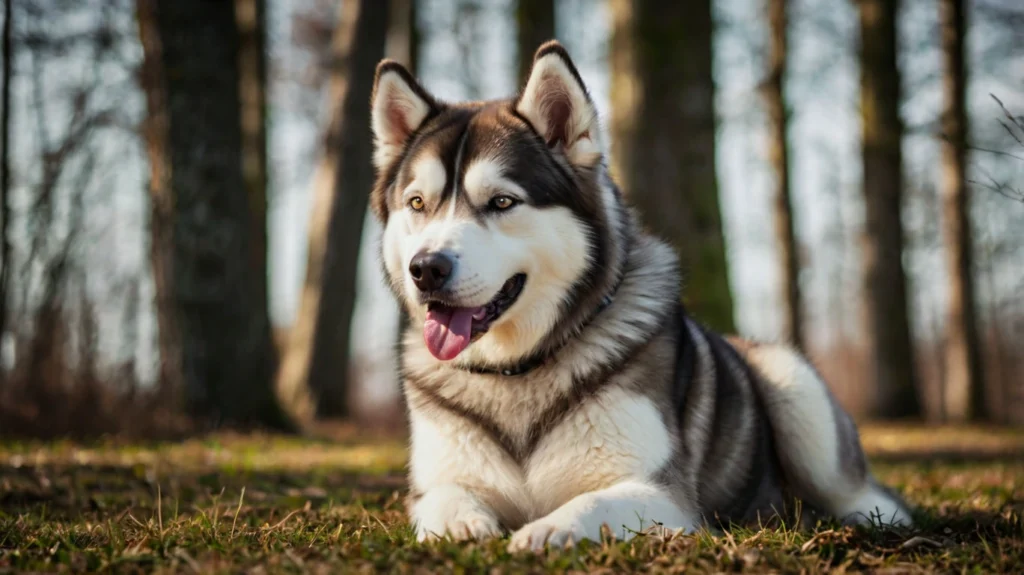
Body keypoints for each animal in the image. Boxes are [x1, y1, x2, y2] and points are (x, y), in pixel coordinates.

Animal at [368, 41, 913, 552]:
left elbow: (592, 502)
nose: (426, 269)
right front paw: (462, 525)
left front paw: (546, 530)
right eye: (417, 203)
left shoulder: (664, 494)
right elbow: (444, 497)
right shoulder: (437, 479)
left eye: (502, 202)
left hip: (795, 388)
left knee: (867, 495)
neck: (517, 369)